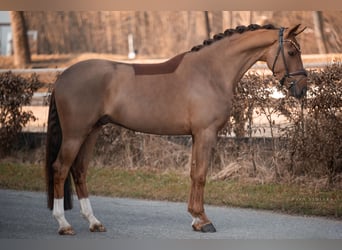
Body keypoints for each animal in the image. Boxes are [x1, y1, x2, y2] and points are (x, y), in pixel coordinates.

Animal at [44, 23, 308, 234]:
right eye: (292, 52)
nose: (302, 88)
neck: (210, 71)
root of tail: (62, 77)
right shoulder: (205, 133)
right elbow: (200, 175)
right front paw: (203, 221)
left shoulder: (196, 136)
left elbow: (193, 173)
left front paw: (195, 219)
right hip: (75, 135)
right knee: (60, 168)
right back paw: (63, 224)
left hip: (91, 132)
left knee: (79, 171)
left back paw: (94, 222)